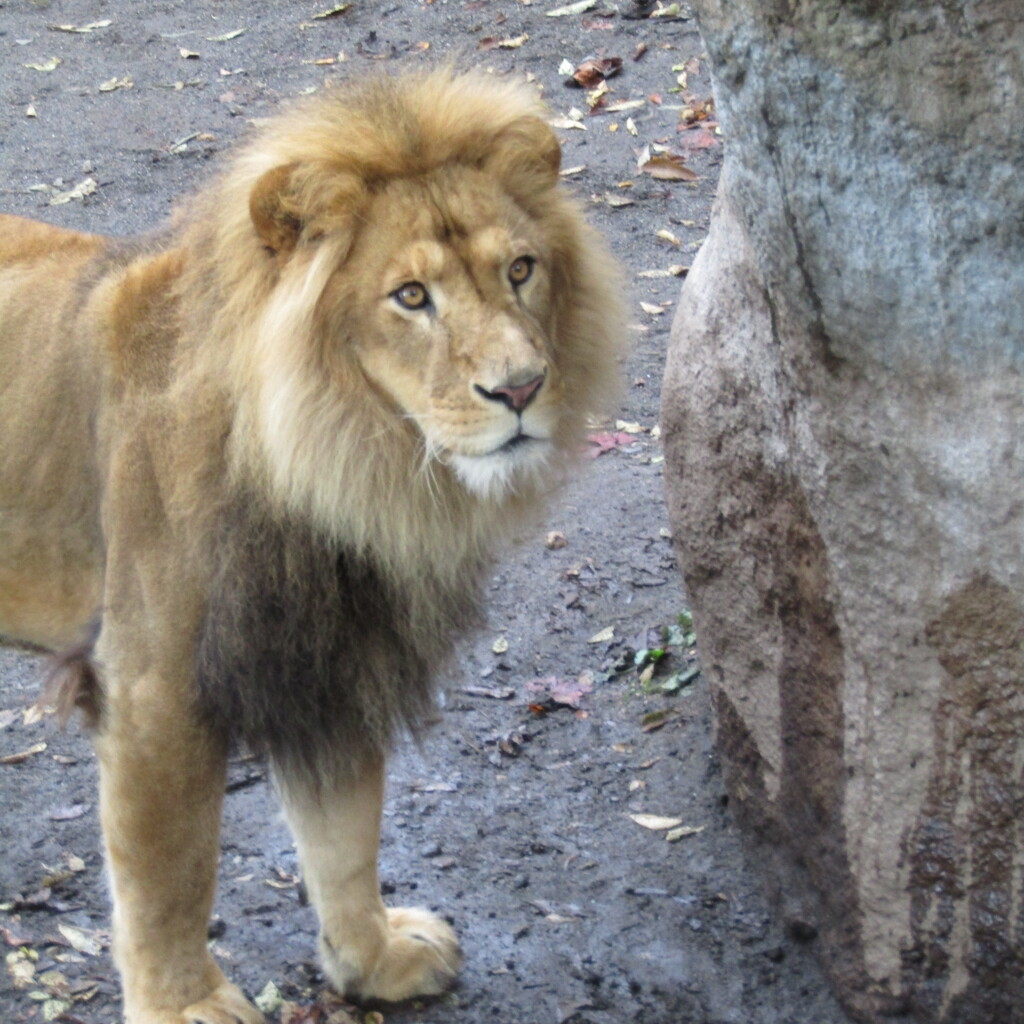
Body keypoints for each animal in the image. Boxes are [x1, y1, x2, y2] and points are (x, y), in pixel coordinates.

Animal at [0, 68, 622, 1019]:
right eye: (412, 297)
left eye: (521, 270)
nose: (521, 388)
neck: (352, 469)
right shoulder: (154, 690)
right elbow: (168, 874)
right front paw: (184, 1006)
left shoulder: (333, 655)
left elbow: (346, 834)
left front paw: (372, 960)